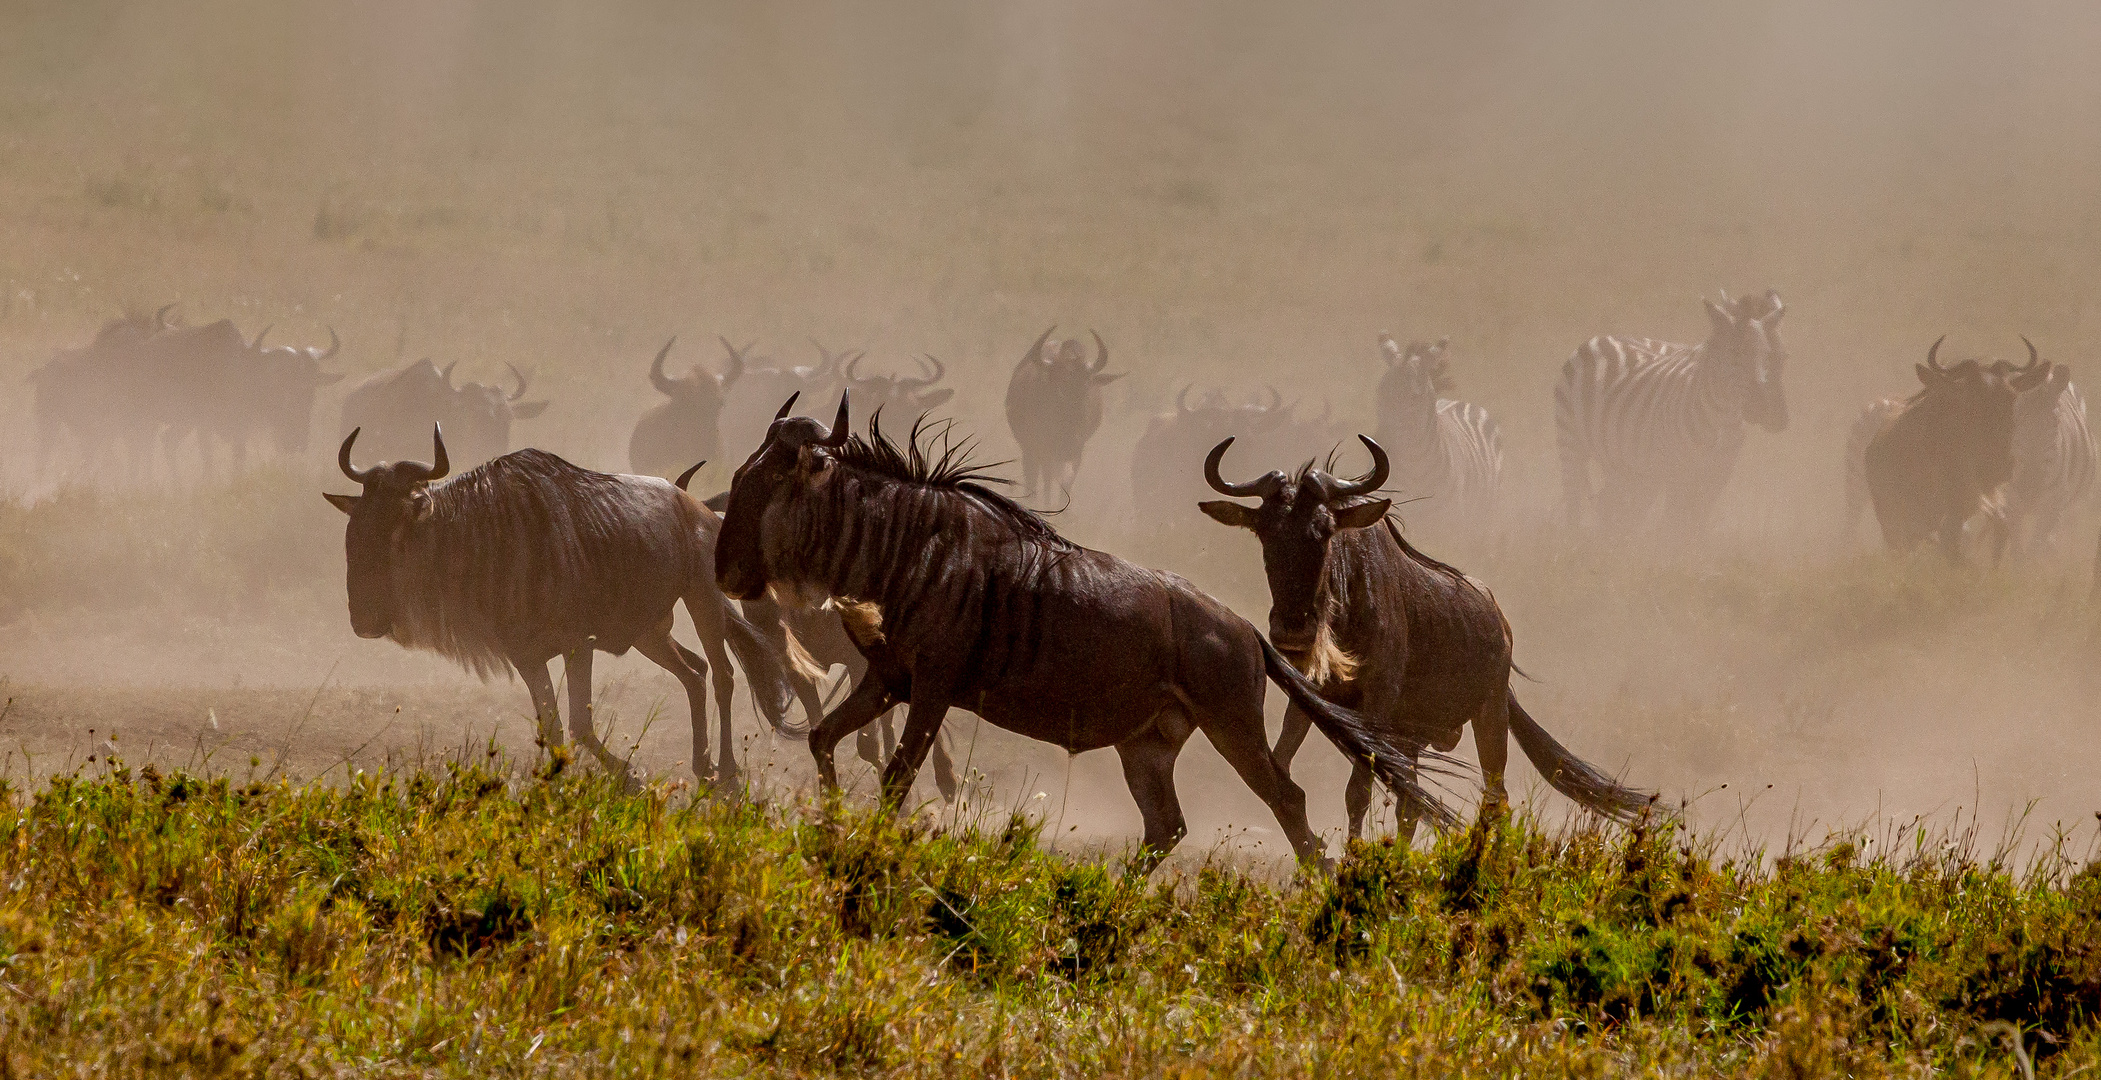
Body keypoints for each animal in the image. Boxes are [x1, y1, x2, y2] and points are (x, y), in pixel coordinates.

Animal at [1554, 289, 1781, 529]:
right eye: (1734, 353)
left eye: (1767, 354)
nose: (1764, 407)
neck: (1722, 418)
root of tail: (1603, 336)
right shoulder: (1676, 471)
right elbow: (1673, 524)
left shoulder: (1717, 475)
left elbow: (1692, 524)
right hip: (1570, 441)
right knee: (1575, 505)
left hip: (1621, 463)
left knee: (1610, 507)